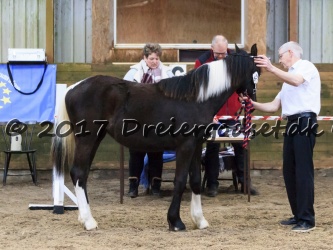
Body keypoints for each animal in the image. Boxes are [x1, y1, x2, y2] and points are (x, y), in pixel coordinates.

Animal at [51, 44, 260, 231]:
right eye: (256, 70)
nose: (253, 100)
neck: (196, 99)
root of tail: (72, 88)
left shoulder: (196, 145)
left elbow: (194, 181)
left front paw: (199, 220)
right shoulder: (185, 146)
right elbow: (180, 180)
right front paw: (175, 222)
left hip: (94, 139)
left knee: (83, 174)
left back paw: (84, 217)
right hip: (87, 139)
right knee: (78, 173)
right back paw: (89, 222)